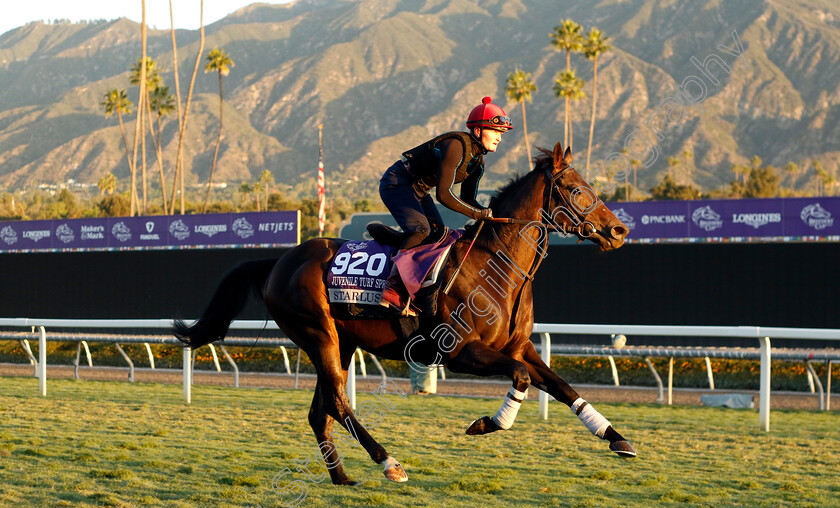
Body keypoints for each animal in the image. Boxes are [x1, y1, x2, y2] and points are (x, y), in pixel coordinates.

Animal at [179, 142, 636, 484]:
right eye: (575, 189)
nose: (619, 230)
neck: (496, 264)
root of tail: (280, 262)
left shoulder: (521, 347)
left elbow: (562, 387)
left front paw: (617, 438)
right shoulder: (458, 352)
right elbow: (523, 378)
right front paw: (486, 423)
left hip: (341, 343)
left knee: (320, 411)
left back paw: (341, 477)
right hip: (318, 335)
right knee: (339, 404)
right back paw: (389, 463)